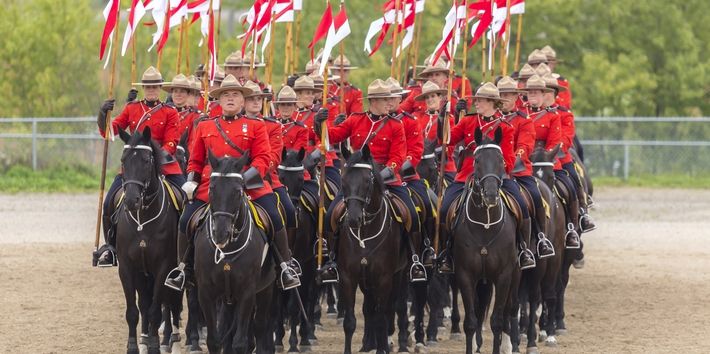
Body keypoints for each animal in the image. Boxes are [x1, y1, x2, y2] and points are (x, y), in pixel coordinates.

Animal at [115, 129, 182, 354]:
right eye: (123, 160)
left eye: (145, 161)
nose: (130, 200)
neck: (143, 217)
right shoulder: (128, 267)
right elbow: (134, 311)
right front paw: (134, 346)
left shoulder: (163, 267)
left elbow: (156, 310)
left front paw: (154, 346)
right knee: (146, 303)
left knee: (171, 304)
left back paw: (171, 340)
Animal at [195, 151, 278, 354]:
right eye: (211, 189)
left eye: (238, 192)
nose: (220, 233)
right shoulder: (206, 292)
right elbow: (214, 341)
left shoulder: (247, 292)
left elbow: (240, 342)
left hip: (265, 289)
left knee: (259, 326)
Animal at [454, 128, 520, 354]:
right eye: (476, 160)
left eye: (501, 160)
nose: (490, 194)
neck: (485, 225)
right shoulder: (465, 275)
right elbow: (470, 321)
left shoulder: (504, 275)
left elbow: (497, 321)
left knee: (509, 310)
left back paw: (509, 345)